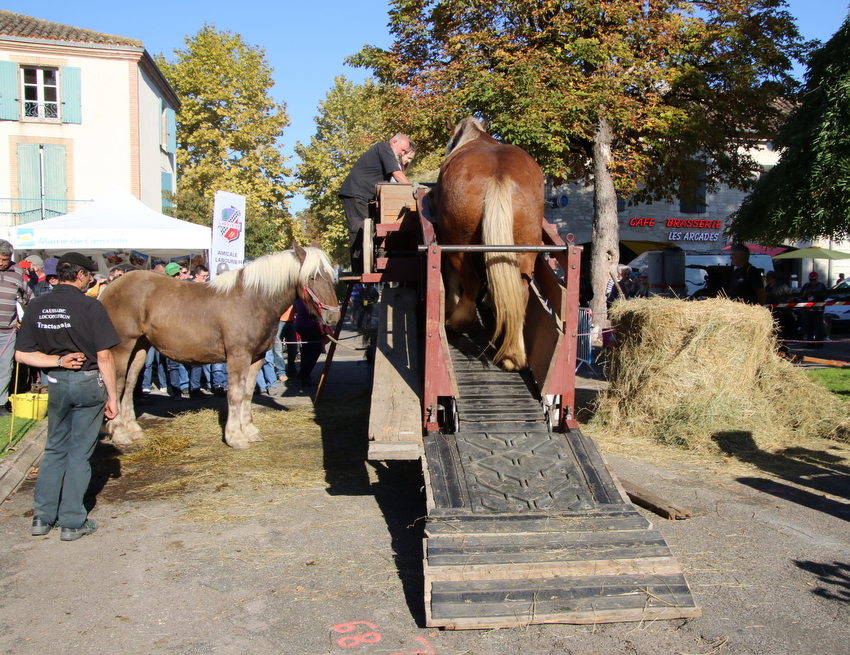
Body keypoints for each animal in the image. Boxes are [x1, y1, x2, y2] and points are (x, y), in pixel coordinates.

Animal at [99, 245, 340, 449]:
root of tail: (109, 288)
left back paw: (133, 430)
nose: (333, 317)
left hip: (140, 349)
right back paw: (119, 433)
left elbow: (247, 394)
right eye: (312, 276)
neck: (253, 300)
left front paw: (250, 430)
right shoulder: (237, 357)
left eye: (331, 276)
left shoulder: (257, 357)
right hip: (121, 349)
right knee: (117, 386)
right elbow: (235, 394)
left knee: (129, 385)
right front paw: (235, 437)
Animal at [435, 117, 544, 371]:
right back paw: (513, 354)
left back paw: (460, 321)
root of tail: (499, 175)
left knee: (471, 281)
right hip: (526, 252)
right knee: (521, 294)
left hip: (459, 246)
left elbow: (453, 277)